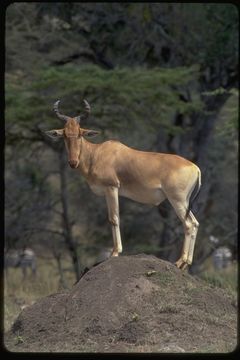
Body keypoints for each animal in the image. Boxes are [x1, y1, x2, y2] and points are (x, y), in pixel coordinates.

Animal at [45, 100, 201, 268]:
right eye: (65, 134)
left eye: (80, 133)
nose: (73, 162)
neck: (97, 153)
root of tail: (195, 167)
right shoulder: (108, 191)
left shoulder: (112, 188)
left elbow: (114, 218)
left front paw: (115, 252)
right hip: (185, 201)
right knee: (195, 223)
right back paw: (187, 262)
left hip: (176, 199)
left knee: (188, 224)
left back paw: (180, 261)